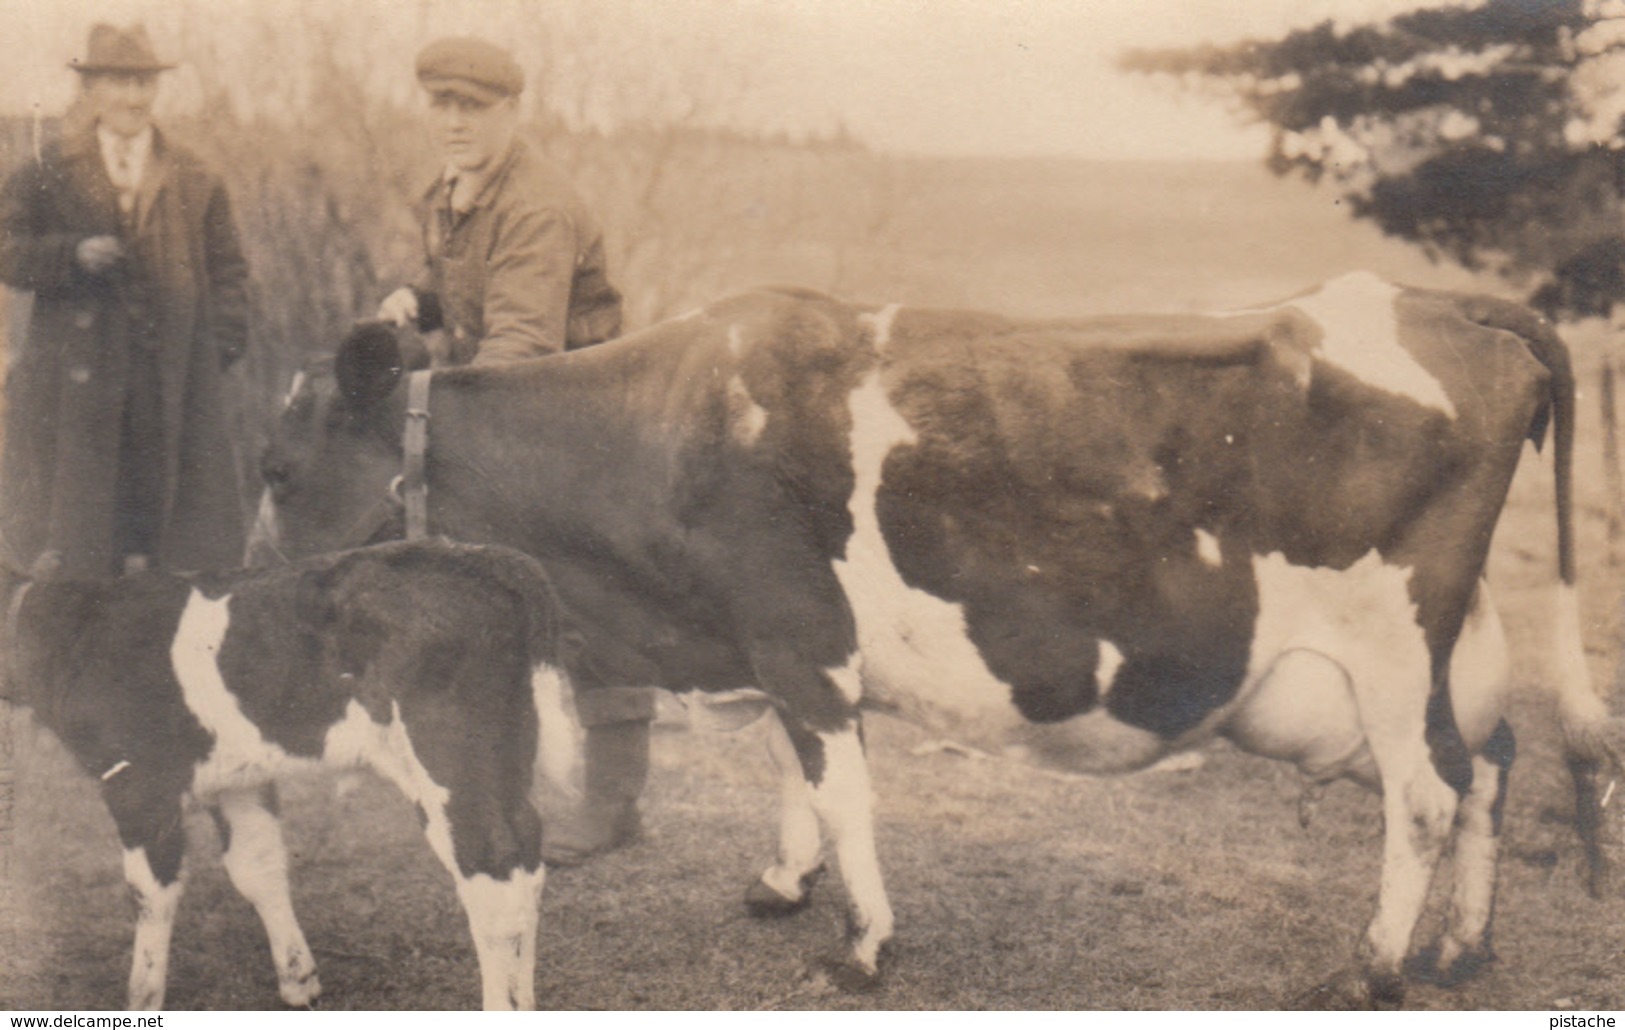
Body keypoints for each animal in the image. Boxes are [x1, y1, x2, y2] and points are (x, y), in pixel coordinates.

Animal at [3, 542, 575, 1007]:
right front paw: (300, 981)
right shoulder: (239, 780)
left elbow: (151, 891)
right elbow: (256, 867)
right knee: (527, 858)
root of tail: (489, 559)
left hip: (451, 760)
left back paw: (501, 1005)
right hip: (503, 761)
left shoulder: (138, 781)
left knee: (492, 871)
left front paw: (141, 998)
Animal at [253, 271, 1612, 1000]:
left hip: (1392, 638)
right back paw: (1463, 948)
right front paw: (783, 882)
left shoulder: (798, 639)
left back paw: (1372, 966)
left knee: (1426, 794)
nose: (252, 591)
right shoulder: (772, 649)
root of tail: (1424, 302)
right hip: (1439, 648)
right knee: (1489, 764)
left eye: (272, 466)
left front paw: (861, 945)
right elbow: (794, 770)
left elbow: (842, 787)